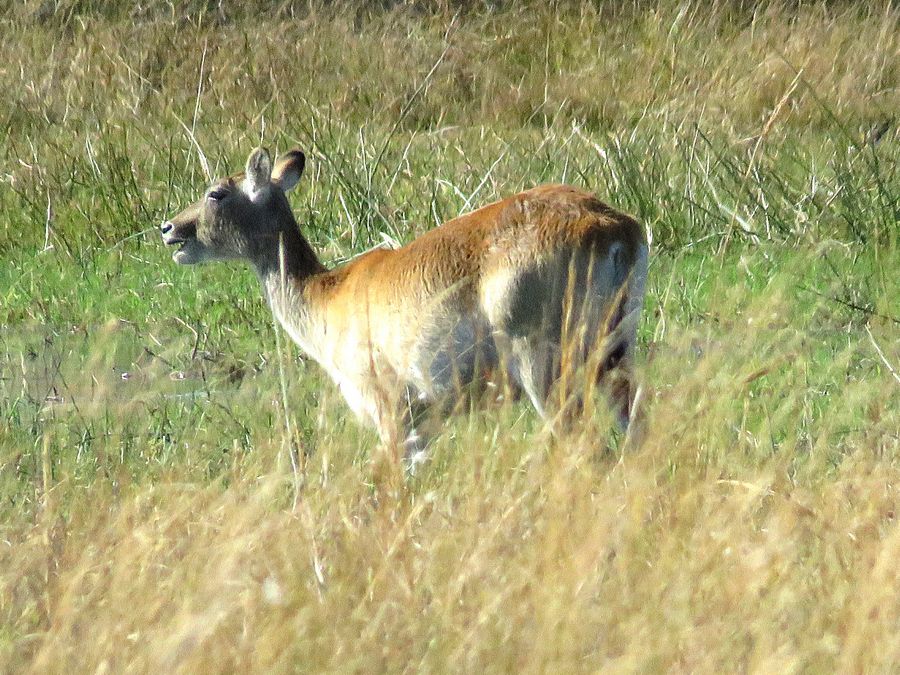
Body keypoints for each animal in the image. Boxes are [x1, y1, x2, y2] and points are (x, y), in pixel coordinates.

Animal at [162, 147, 652, 464]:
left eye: (217, 192)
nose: (169, 228)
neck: (327, 296)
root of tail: (614, 228)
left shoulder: (392, 412)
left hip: (545, 366)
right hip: (616, 354)